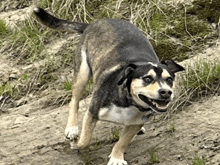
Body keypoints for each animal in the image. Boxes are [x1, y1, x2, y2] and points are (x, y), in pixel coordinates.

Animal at [34, 7, 184, 165]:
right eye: (147, 79)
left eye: (169, 79)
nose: (166, 92)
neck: (128, 100)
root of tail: (93, 23)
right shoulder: (92, 112)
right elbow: (85, 140)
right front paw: (77, 144)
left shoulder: (136, 122)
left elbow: (122, 142)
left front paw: (117, 157)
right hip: (82, 73)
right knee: (74, 101)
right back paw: (72, 128)